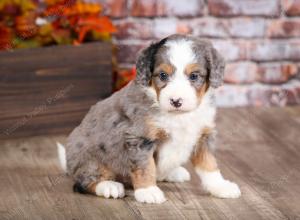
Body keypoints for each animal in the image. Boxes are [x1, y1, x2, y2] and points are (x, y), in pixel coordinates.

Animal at [57, 34, 241, 205]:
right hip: (88, 159)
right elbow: (145, 166)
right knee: (84, 182)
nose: (176, 101)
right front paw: (148, 191)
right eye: (163, 75)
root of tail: (69, 164)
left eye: (194, 76)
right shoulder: (139, 138)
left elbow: (209, 164)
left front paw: (221, 186)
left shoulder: (203, 135)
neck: (178, 115)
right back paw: (109, 186)